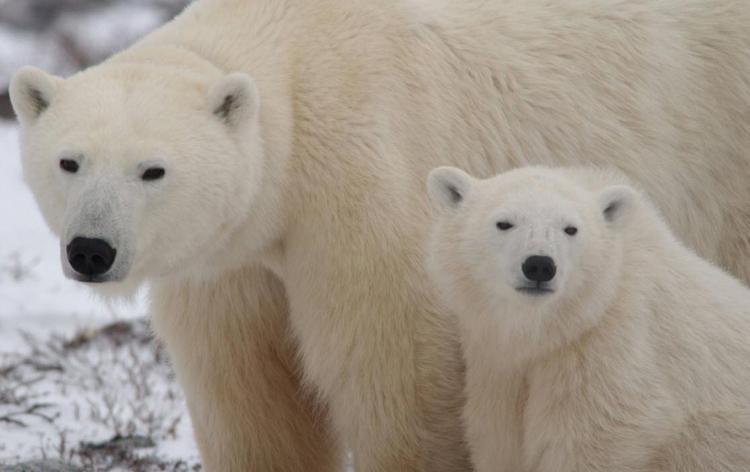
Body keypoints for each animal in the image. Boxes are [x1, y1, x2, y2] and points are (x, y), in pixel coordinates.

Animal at [10, 0, 750, 470]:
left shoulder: (363, 183)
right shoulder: (229, 262)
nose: (91, 250)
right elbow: (250, 395)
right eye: (69, 161)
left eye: (153, 169)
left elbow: (399, 376)